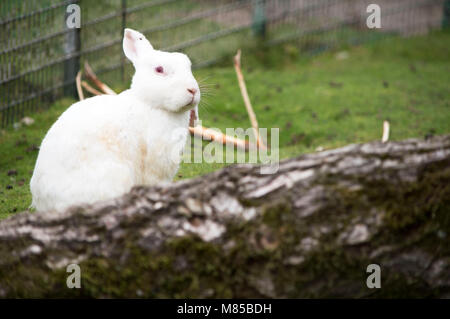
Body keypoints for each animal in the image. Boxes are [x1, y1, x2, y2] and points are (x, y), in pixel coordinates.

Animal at [30, 28, 200, 212]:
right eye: (159, 69)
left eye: (188, 65)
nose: (192, 90)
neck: (149, 103)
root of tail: (45, 204)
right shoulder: (156, 164)